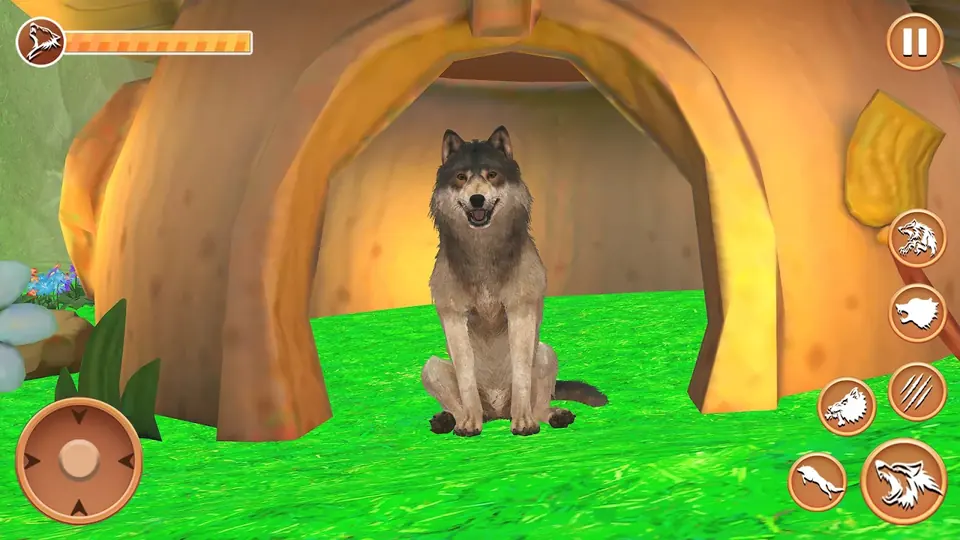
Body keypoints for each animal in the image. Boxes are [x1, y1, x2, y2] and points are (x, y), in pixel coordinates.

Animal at [421, 126, 608, 437]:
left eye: (492, 174)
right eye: (461, 177)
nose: (477, 199)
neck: (483, 252)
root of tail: (497, 411)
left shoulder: (521, 310)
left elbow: (521, 375)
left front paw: (524, 424)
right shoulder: (454, 317)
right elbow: (466, 379)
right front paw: (468, 424)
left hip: (546, 353)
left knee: (541, 405)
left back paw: (554, 416)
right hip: (430, 367)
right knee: (457, 403)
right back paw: (448, 421)